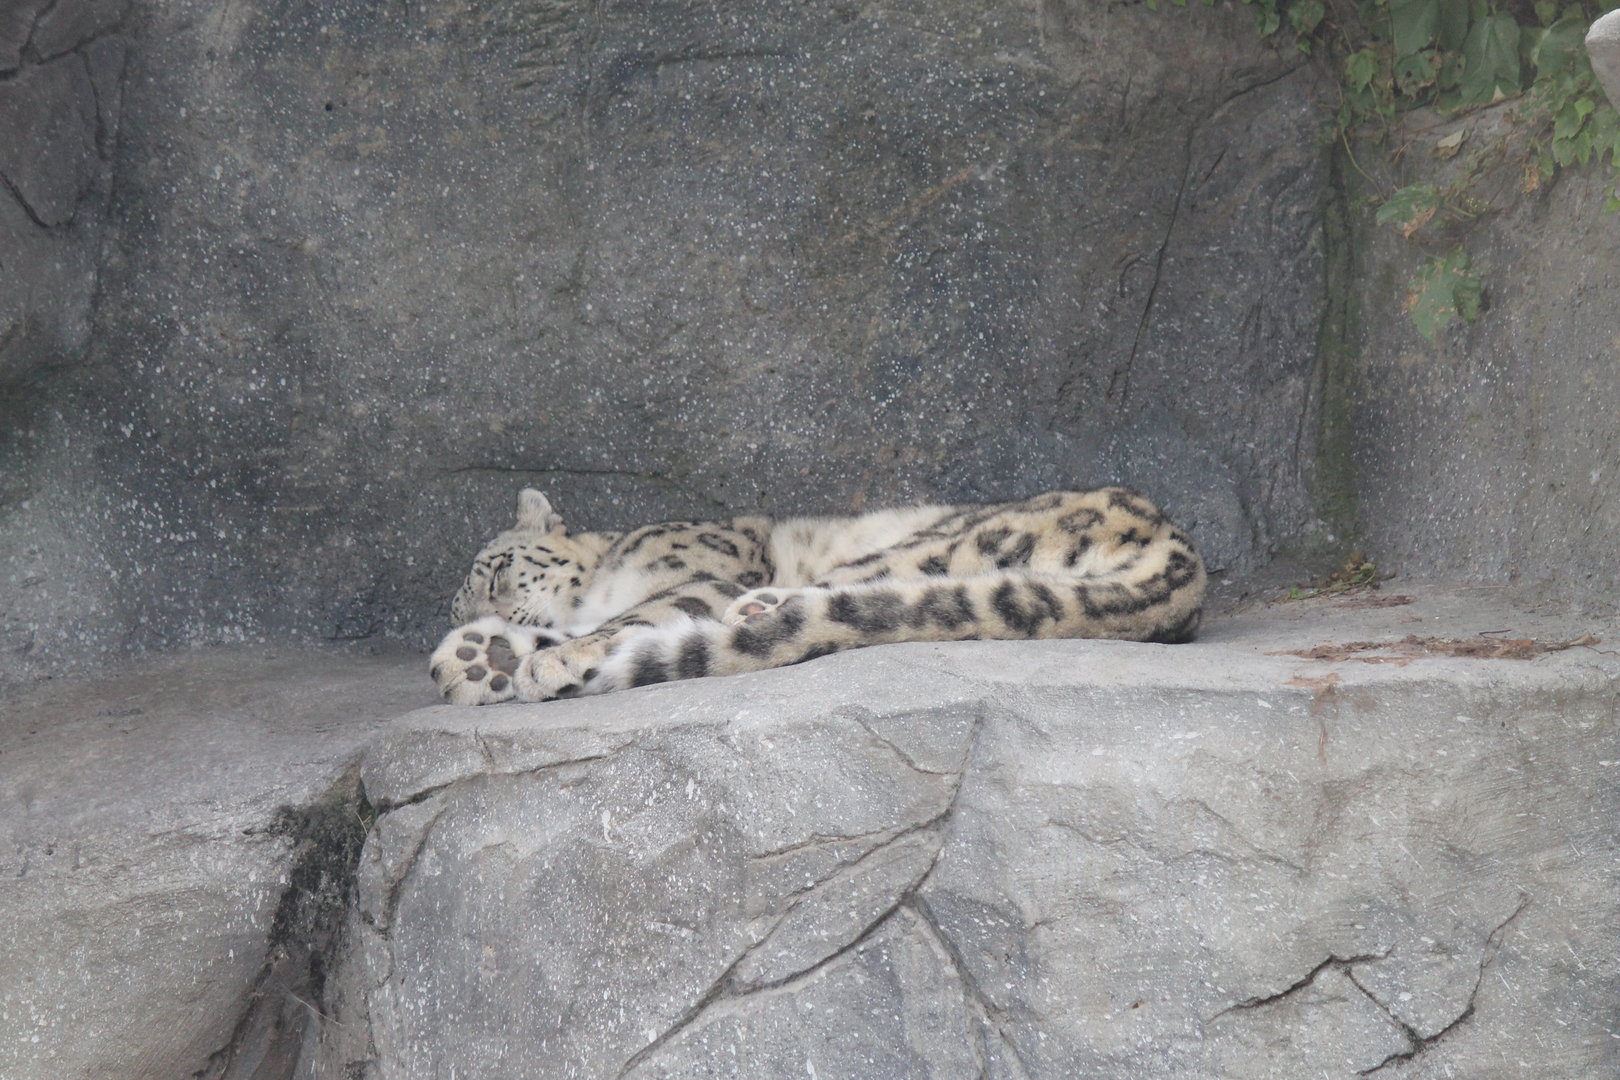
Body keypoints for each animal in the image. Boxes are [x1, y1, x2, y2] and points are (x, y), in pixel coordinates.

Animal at [430, 487, 1206, 705]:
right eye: (463, 599)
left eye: (494, 571)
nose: (480, 617)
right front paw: (480, 660)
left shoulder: (701, 573)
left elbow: (632, 615)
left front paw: (542, 660)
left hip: (926, 540)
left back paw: (762, 610)